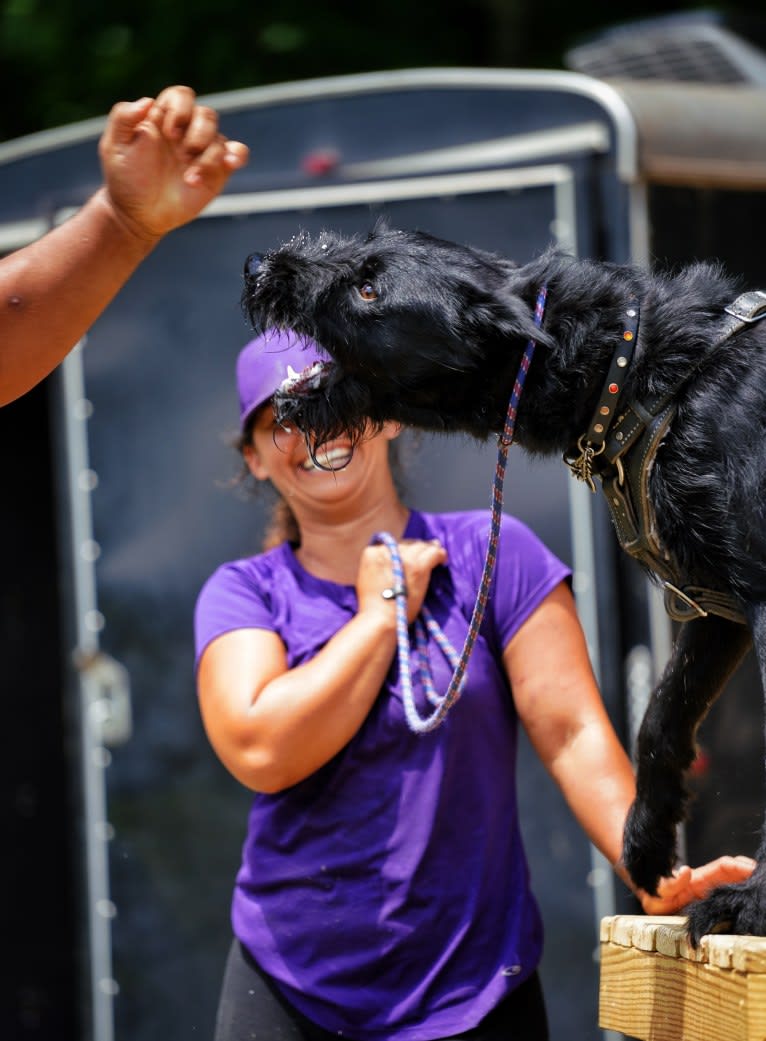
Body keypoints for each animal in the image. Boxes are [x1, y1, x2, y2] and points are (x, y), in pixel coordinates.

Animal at [242, 221, 766, 945]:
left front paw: (750, 901)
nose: (257, 266)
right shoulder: (713, 603)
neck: (633, 367)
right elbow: (661, 716)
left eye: (370, 288)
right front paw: (645, 845)